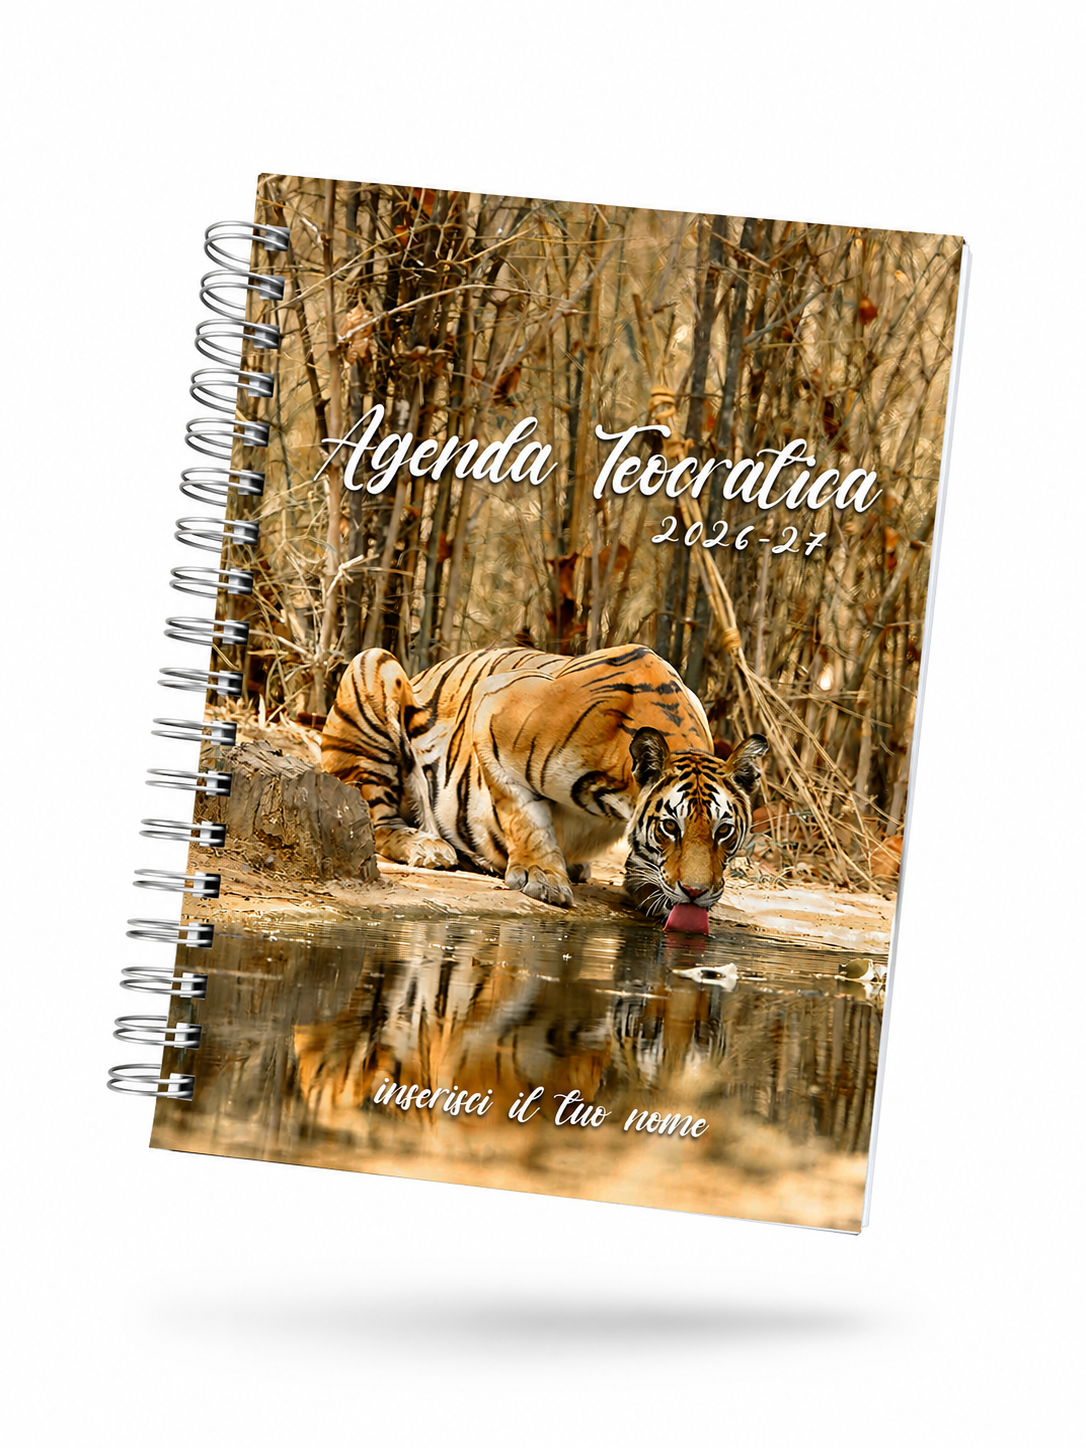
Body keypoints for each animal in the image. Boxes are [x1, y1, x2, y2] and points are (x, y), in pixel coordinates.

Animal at [320, 643, 768, 916]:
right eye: (670, 827)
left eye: (724, 832)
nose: (695, 893)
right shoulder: (493, 710)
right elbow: (524, 816)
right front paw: (542, 877)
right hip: (373, 666)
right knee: (375, 822)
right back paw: (428, 847)